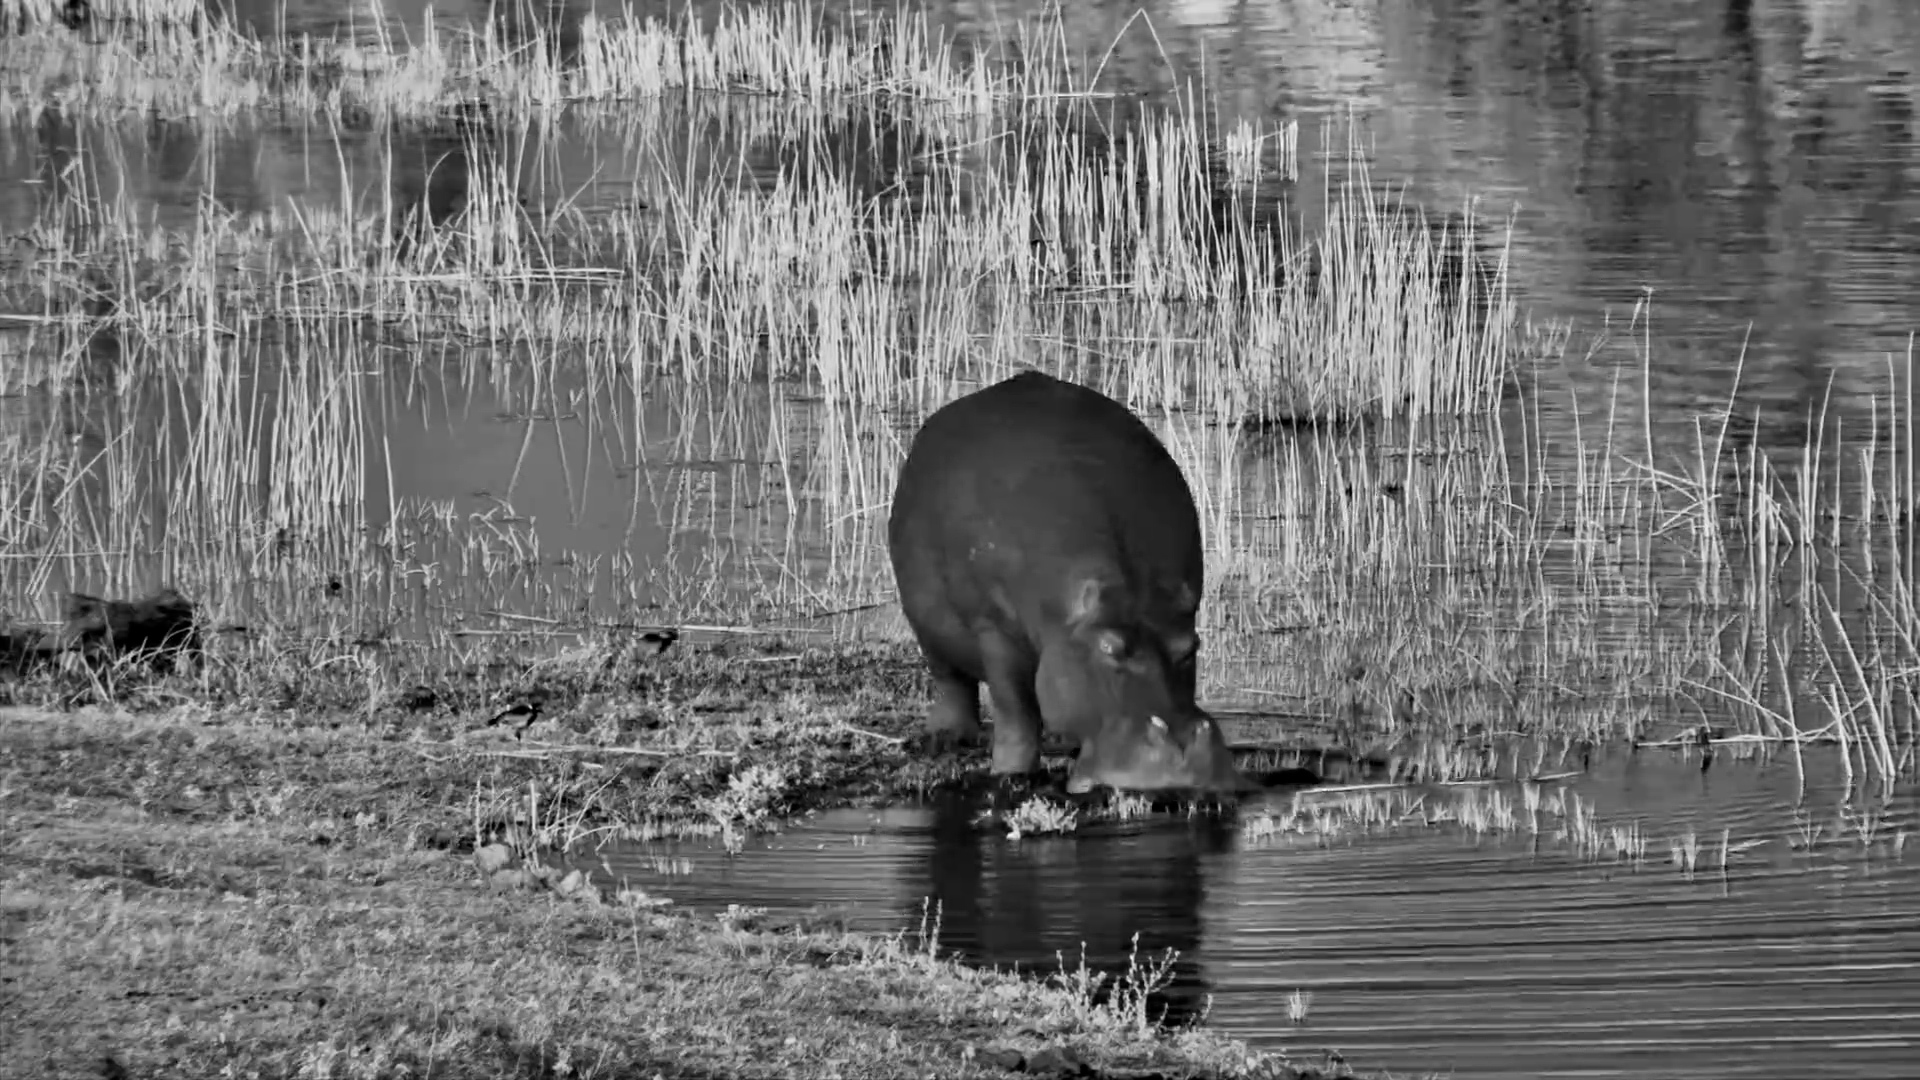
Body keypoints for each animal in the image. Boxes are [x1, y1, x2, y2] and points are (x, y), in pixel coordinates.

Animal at [886, 370, 1250, 795]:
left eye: (1191, 648)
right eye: (1109, 647)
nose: (1183, 753)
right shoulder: (993, 627)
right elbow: (1015, 710)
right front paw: (1011, 774)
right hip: (926, 622)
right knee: (951, 681)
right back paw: (946, 736)